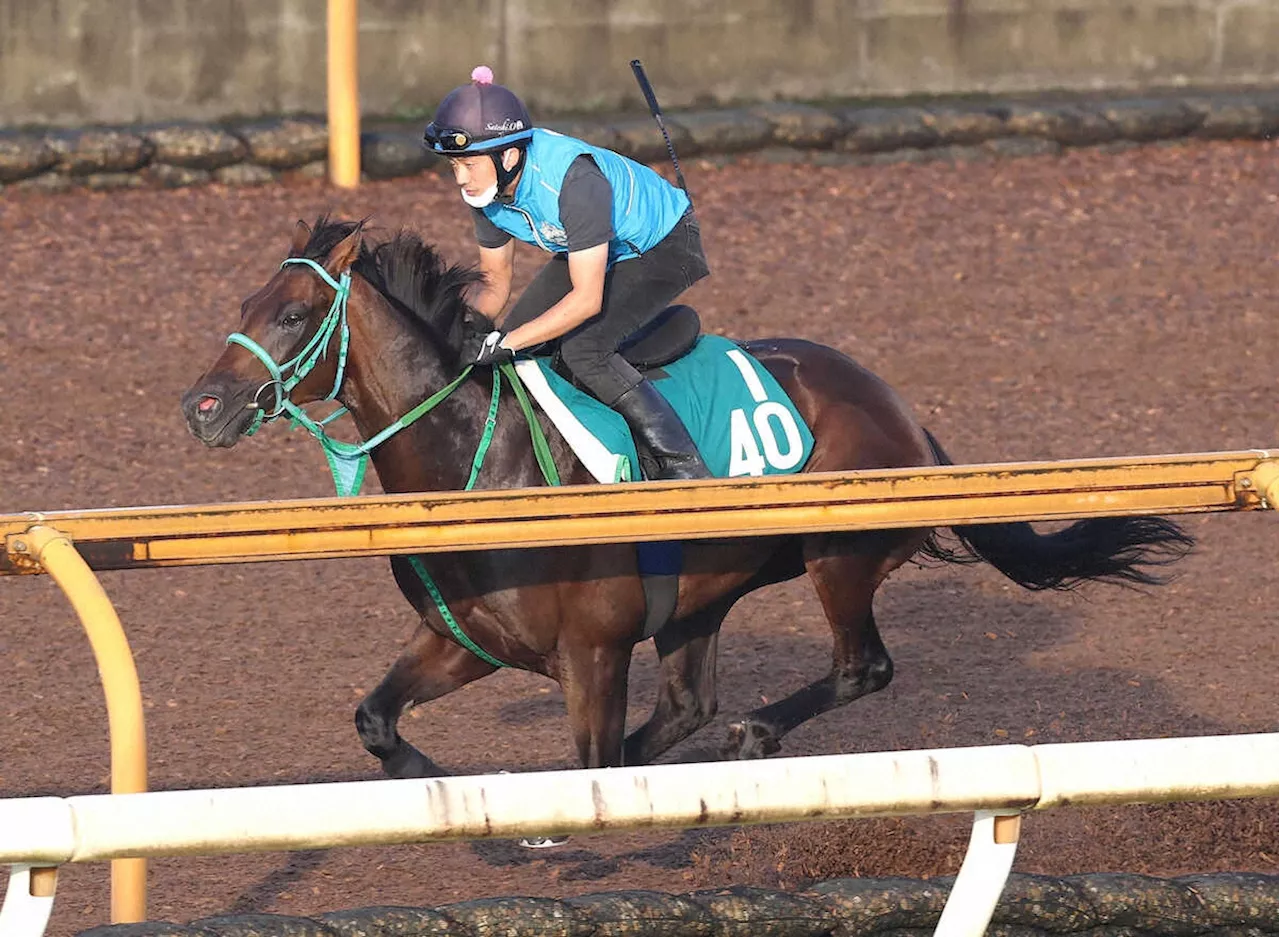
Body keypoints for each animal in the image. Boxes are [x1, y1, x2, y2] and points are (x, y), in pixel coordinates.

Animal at [177, 217, 1187, 778]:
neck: (482, 459)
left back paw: (757, 730)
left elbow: (586, 763)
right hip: (702, 592)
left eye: (295, 314)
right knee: (690, 702)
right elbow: (377, 717)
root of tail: (902, 411)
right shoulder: (469, 638)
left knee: (862, 666)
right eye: (245, 302)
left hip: (838, 557)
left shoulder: (590, 650)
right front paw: (430, 771)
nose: (201, 407)